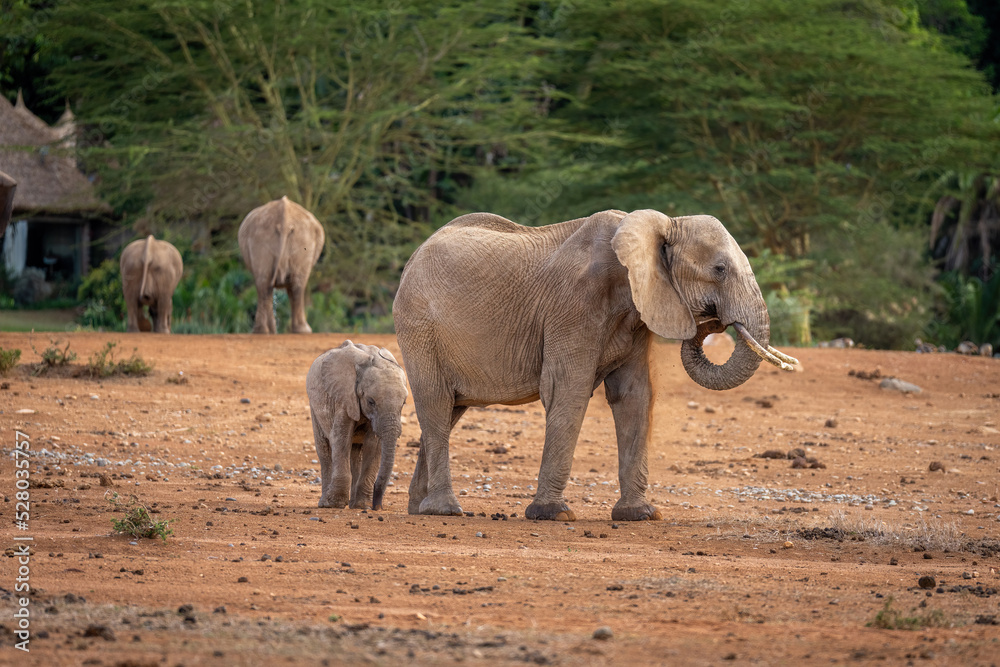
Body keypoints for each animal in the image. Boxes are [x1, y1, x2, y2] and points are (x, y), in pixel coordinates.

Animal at [306, 340, 409, 510]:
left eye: (404, 404)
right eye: (371, 401)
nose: (377, 507)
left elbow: (373, 445)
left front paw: (363, 505)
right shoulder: (344, 398)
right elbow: (340, 439)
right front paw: (335, 504)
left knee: (356, 452)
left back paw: (354, 504)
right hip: (314, 407)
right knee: (324, 448)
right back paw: (324, 503)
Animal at [393, 209, 798, 521]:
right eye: (719, 269)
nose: (714, 322)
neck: (660, 225)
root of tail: (414, 255)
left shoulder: (637, 313)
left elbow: (635, 396)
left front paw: (640, 515)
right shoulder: (574, 306)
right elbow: (567, 390)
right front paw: (553, 514)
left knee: (449, 411)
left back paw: (418, 507)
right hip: (419, 327)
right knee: (436, 403)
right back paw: (444, 510)